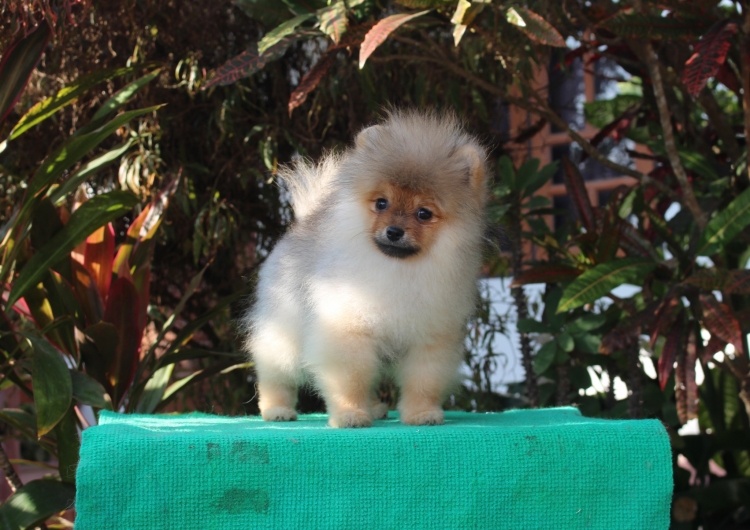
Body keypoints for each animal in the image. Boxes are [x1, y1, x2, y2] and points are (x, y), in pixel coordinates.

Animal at [242, 110, 488, 427]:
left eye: (424, 213)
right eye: (382, 203)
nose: (394, 231)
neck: (398, 269)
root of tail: (303, 223)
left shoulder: (430, 336)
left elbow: (423, 380)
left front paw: (421, 413)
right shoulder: (347, 329)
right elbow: (350, 378)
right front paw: (350, 414)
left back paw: (373, 407)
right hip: (285, 327)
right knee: (276, 370)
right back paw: (276, 409)